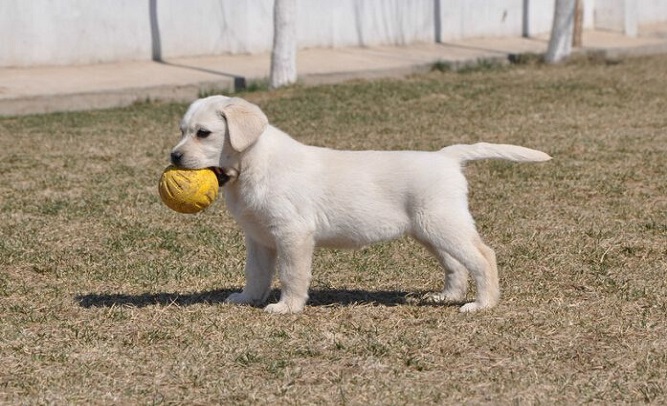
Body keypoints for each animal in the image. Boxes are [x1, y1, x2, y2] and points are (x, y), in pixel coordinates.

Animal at [170, 95, 552, 314]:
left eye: (203, 133)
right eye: (182, 130)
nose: (174, 156)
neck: (254, 163)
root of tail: (446, 157)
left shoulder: (293, 234)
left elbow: (292, 274)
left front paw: (288, 307)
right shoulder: (259, 238)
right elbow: (256, 274)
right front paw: (248, 298)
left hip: (443, 224)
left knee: (483, 256)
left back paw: (483, 304)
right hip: (429, 231)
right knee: (456, 265)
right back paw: (446, 297)